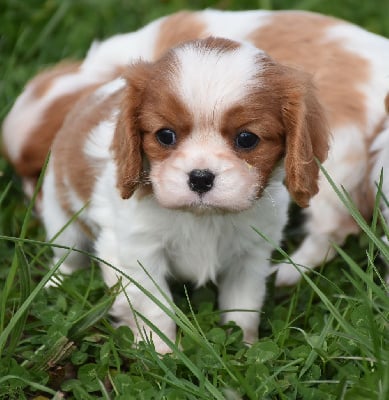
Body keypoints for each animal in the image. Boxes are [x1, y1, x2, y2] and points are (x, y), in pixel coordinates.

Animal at [39, 36, 328, 350]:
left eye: (247, 139)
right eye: (165, 135)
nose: (200, 178)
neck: (204, 218)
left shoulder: (250, 256)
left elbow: (244, 304)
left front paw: (244, 345)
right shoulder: (137, 252)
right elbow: (155, 306)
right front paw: (161, 350)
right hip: (61, 219)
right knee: (67, 257)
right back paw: (54, 283)